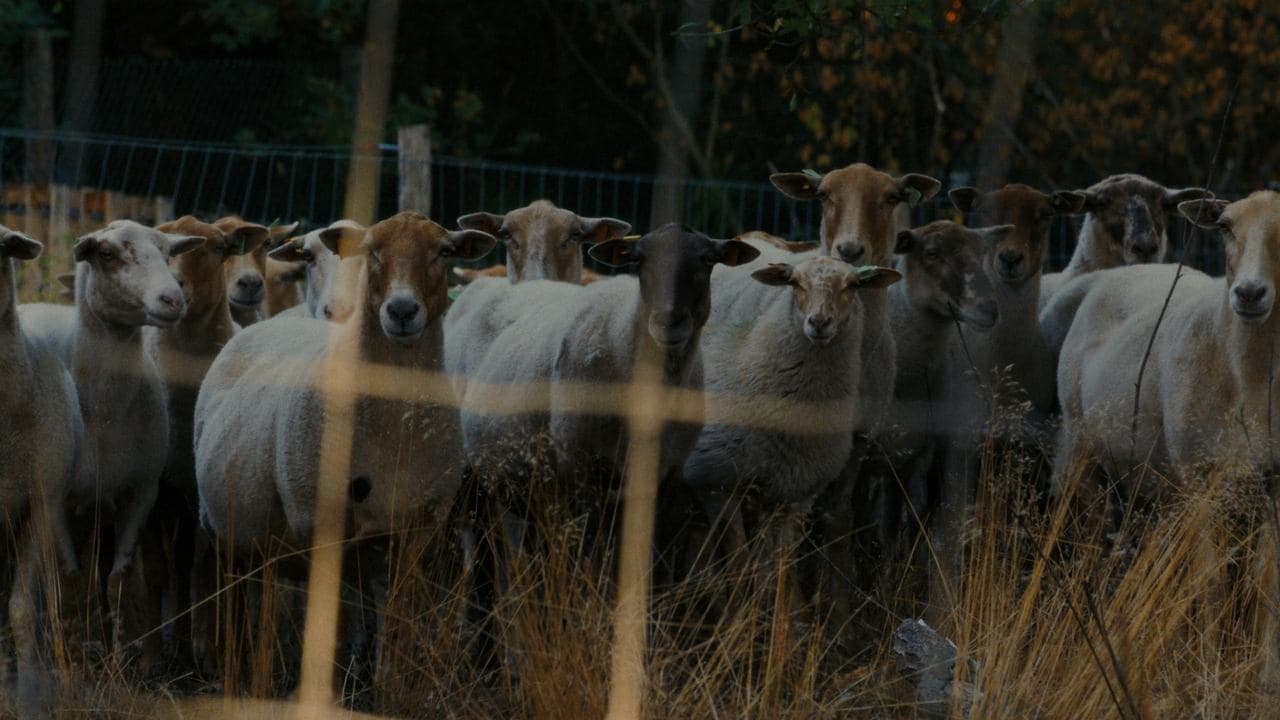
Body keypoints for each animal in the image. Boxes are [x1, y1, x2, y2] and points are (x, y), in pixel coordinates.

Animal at [20, 219, 203, 661]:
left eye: (167, 253)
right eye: (107, 254)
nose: (172, 299)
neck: (105, 412)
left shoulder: (142, 491)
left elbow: (118, 578)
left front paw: (123, 659)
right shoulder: (55, 498)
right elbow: (69, 577)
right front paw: (72, 654)